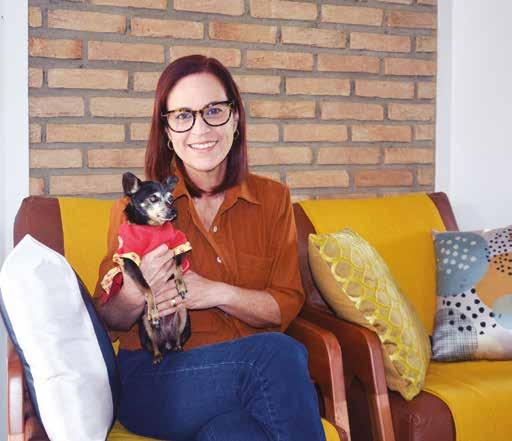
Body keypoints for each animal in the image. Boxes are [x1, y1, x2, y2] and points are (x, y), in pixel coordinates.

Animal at [120, 172, 192, 364]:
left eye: (171, 199)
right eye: (153, 198)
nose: (174, 211)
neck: (152, 228)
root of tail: (166, 341)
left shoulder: (178, 242)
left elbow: (177, 265)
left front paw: (181, 284)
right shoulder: (129, 260)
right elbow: (147, 286)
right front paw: (154, 309)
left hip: (182, 314)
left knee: (177, 338)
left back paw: (177, 347)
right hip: (145, 326)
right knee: (154, 344)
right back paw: (158, 355)